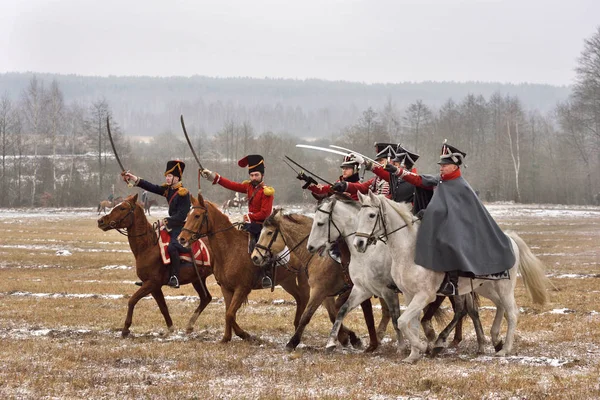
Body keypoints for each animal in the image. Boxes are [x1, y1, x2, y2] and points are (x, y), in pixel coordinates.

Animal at [96, 194, 213, 338]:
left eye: (122, 208)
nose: (101, 221)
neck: (148, 246)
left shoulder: (152, 283)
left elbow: (132, 300)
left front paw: (126, 329)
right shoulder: (154, 287)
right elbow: (163, 307)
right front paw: (171, 329)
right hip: (197, 279)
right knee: (206, 298)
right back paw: (190, 325)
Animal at [177, 192, 310, 342]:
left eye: (197, 215)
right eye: (188, 215)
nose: (181, 239)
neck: (229, 249)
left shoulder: (242, 288)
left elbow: (230, 314)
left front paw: (243, 334)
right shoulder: (226, 288)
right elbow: (228, 313)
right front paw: (226, 337)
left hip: (302, 277)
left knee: (304, 297)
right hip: (287, 281)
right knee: (299, 298)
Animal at [248, 209, 390, 354]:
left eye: (269, 232)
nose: (255, 257)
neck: (318, 256)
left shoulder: (319, 291)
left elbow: (307, 316)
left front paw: (292, 342)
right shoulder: (326, 294)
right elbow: (333, 315)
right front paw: (349, 338)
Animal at [310, 195, 404, 352]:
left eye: (320, 223)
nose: (310, 247)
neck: (368, 254)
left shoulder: (388, 290)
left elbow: (395, 317)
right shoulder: (362, 289)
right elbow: (342, 310)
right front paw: (331, 342)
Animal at [354, 192, 552, 364]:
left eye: (372, 215)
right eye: (359, 214)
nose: (358, 243)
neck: (409, 251)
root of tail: (509, 238)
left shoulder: (425, 295)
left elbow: (403, 321)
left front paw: (424, 346)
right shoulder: (410, 295)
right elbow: (411, 324)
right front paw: (413, 355)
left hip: (505, 287)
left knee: (511, 313)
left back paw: (504, 349)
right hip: (485, 286)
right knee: (499, 306)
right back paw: (495, 338)